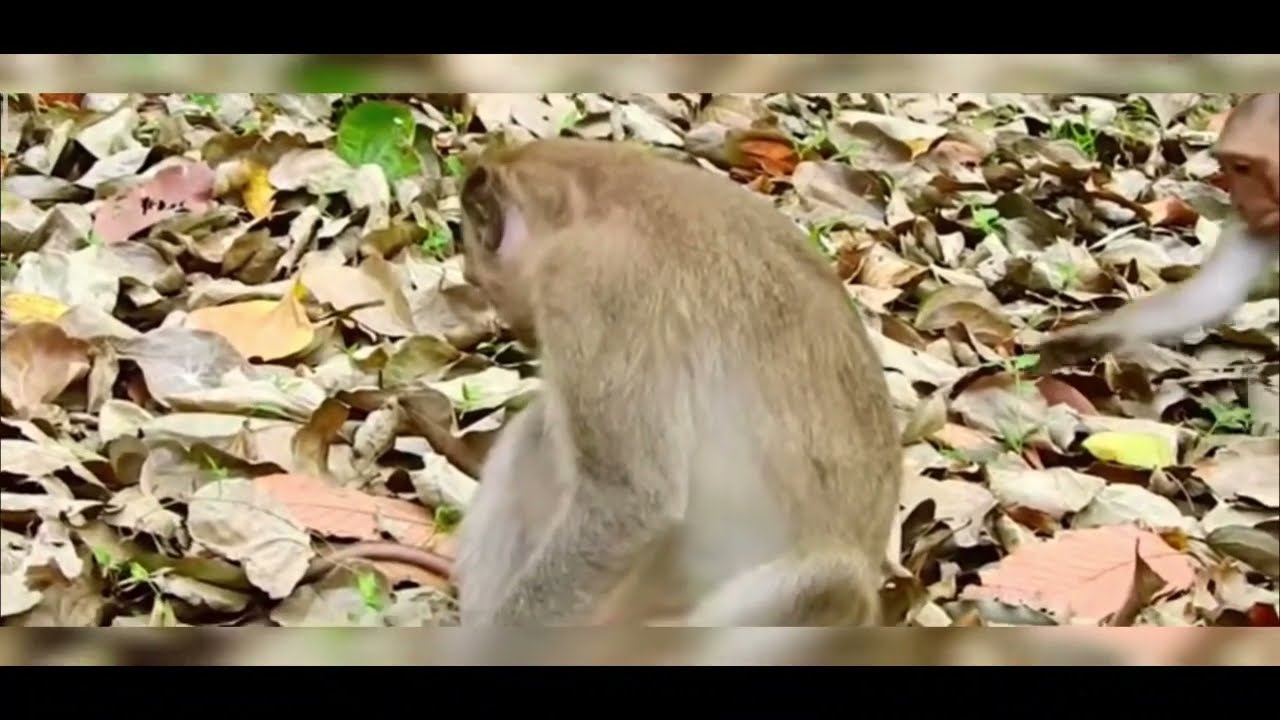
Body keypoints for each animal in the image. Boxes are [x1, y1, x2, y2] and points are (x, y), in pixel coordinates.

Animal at [449, 137, 902, 627]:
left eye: (478, 278)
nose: (516, 331)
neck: (597, 196)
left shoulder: (595, 282)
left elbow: (630, 498)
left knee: (832, 585)